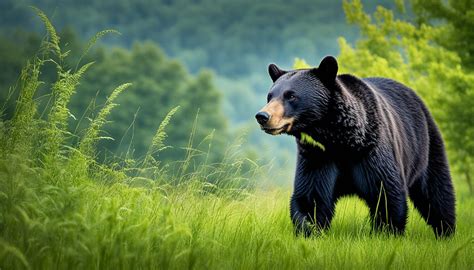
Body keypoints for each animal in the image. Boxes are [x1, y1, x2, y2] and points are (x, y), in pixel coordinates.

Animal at [256, 56, 456, 237]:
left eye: (291, 95)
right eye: (270, 96)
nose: (262, 116)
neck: (340, 141)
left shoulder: (372, 151)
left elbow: (386, 192)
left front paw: (386, 233)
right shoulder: (317, 156)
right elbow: (311, 197)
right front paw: (309, 231)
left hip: (426, 145)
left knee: (437, 190)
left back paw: (446, 231)